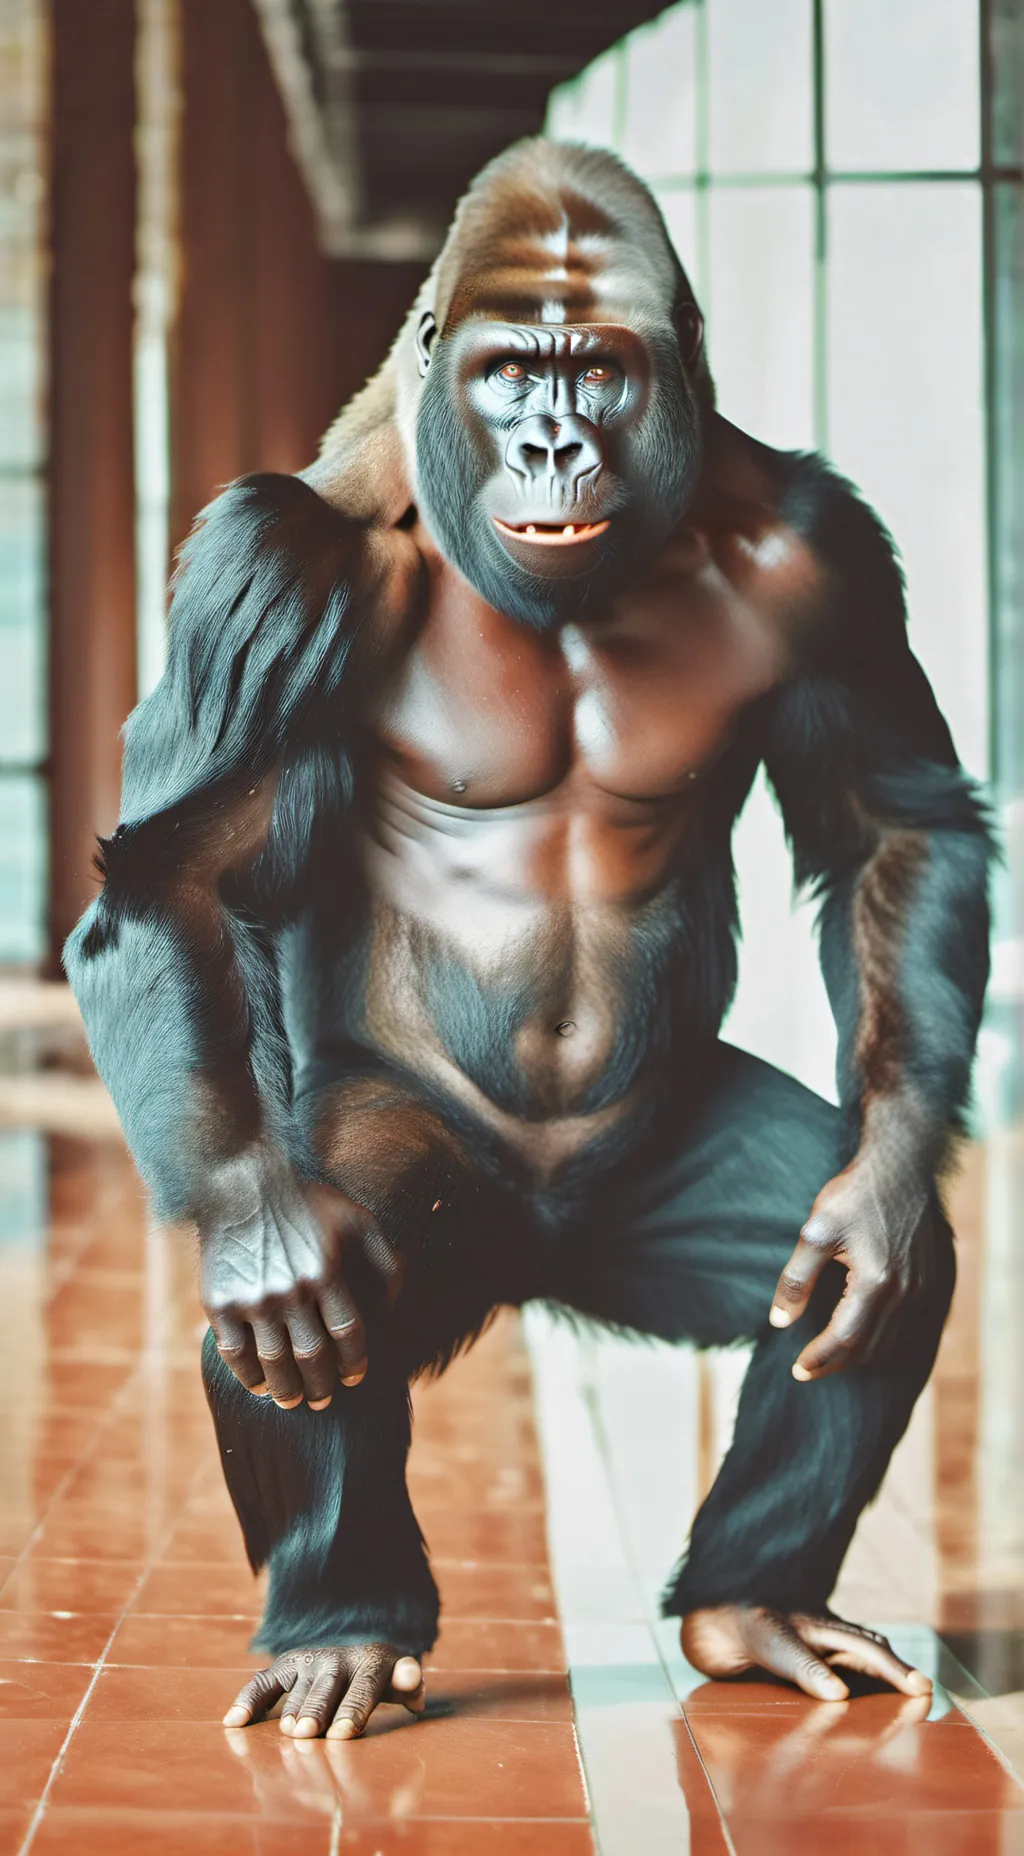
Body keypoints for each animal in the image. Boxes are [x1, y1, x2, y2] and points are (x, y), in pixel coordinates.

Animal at [66, 138, 992, 1739]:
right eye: (509, 372)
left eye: (597, 369)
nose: (555, 442)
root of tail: (540, 1258)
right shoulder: (268, 563)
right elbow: (178, 877)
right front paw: (258, 1240)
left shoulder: (824, 553)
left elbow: (897, 820)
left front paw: (873, 1206)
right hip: (428, 1176)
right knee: (316, 1294)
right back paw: (341, 1618)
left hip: (648, 1195)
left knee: (870, 1283)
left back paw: (754, 1598)